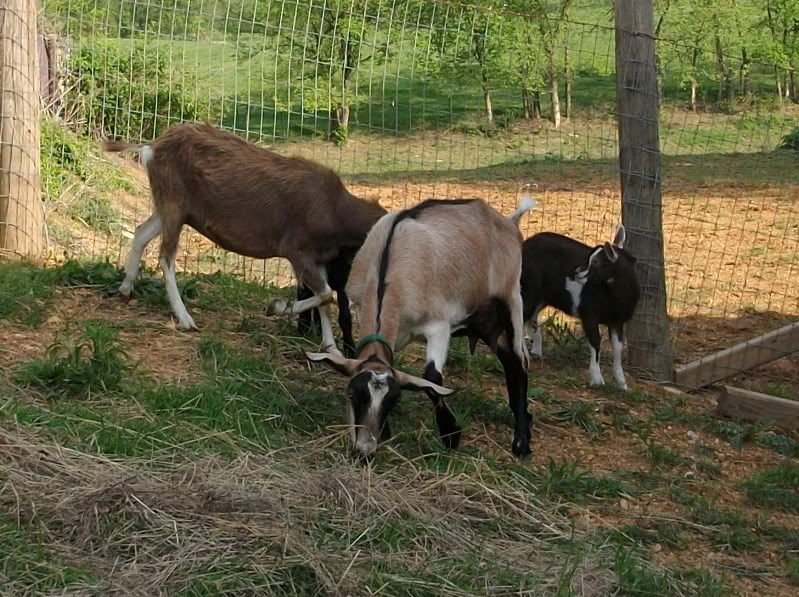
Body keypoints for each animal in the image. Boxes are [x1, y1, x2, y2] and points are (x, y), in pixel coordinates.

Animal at [103, 122, 386, 355]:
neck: (336, 208)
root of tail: (151, 147)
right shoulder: (297, 251)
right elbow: (326, 294)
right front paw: (275, 307)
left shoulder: (318, 259)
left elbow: (325, 299)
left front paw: (331, 348)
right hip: (173, 202)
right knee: (166, 256)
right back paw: (185, 319)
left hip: (173, 207)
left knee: (141, 232)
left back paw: (125, 289)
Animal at [306, 195, 535, 461]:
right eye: (352, 394)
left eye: (393, 402)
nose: (364, 452)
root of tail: (509, 222)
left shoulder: (439, 326)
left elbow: (432, 377)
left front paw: (451, 433)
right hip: (488, 321)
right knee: (510, 360)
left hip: (512, 300)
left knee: (520, 362)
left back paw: (521, 441)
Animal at [520, 225, 640, 390]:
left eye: (596, 261)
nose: (577, 272)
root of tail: (526, 244)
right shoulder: (589, 315)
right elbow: (596, 342)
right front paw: (596, 379)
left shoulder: (617, 322)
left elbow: (618, 348)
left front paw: (621, 383)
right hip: (529, 289)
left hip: (541, 297)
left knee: (530, 318)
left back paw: (535, 351)